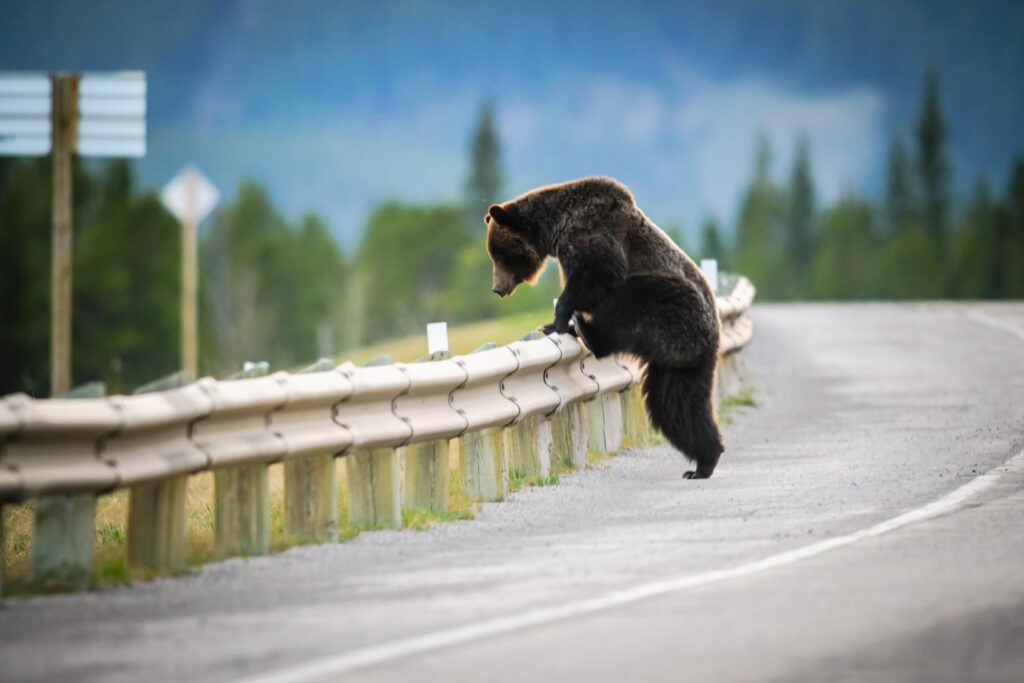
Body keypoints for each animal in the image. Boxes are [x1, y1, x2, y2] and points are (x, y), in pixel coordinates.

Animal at [485, 174, 720, 479]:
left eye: (500, 255)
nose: (497, 288)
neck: (554, 227)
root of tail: (713, 334)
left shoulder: (588, 233)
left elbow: (598, 273)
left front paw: (555, 322)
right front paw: (553, 322)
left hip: (674, 309)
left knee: (629, 299)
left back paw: (588, 331)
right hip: (680, 362)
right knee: (677, 403)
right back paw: (703, 463)